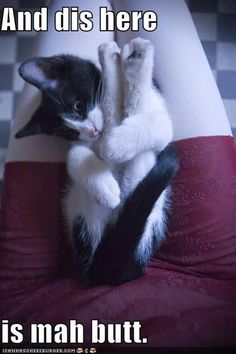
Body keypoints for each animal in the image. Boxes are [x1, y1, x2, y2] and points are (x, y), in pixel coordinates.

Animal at [16, 38, 179, 286]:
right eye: (69, 133)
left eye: (77, 106)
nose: (92, 132)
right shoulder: (84, 144)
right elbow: (75, 155)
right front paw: (104, 187)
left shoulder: (157, 108)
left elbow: (158, 125)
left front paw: (116, 143)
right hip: (84, 214)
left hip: (153, 213)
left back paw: (135, 64)